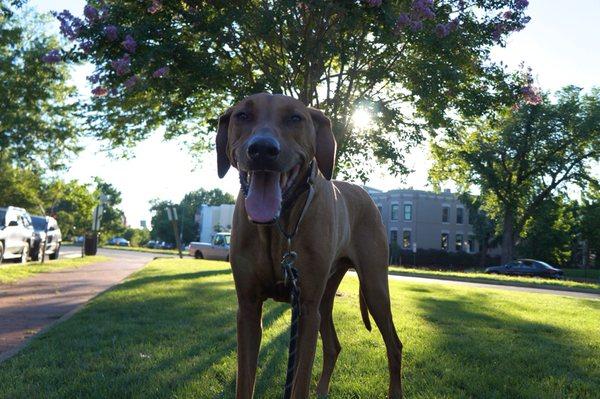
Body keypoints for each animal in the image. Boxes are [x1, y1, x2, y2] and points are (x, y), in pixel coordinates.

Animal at [216, 94, 404, 399]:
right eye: (242, 115)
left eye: (295, 118)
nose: (262, 149)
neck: (278, 227)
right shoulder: (248, 307)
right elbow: (245, 382)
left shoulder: (305, 308)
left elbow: (299, 382)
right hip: (326, 295)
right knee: (333, 345)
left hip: (374, 286)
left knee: (394, 345)